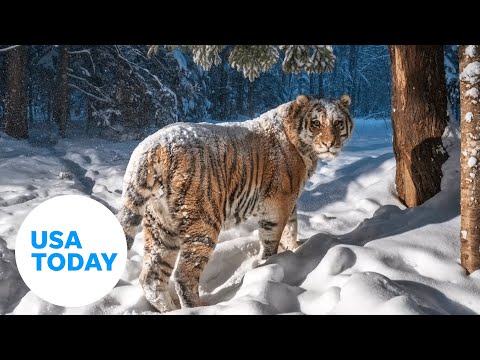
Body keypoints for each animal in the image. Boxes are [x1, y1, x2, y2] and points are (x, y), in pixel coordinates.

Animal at [118, 93, 354, 312]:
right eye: (315, 123)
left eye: (337, 123)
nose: (329, 144)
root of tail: (150, 147)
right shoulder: (278, 202)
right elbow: (272, 237)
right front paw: (268, 264)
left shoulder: (291, 201)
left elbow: (291, 227)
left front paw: (294, 251)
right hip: (203, 223)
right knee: (184, 275)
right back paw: (198, 309)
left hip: (161, 227)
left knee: (151, 277)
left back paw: (170, 309)